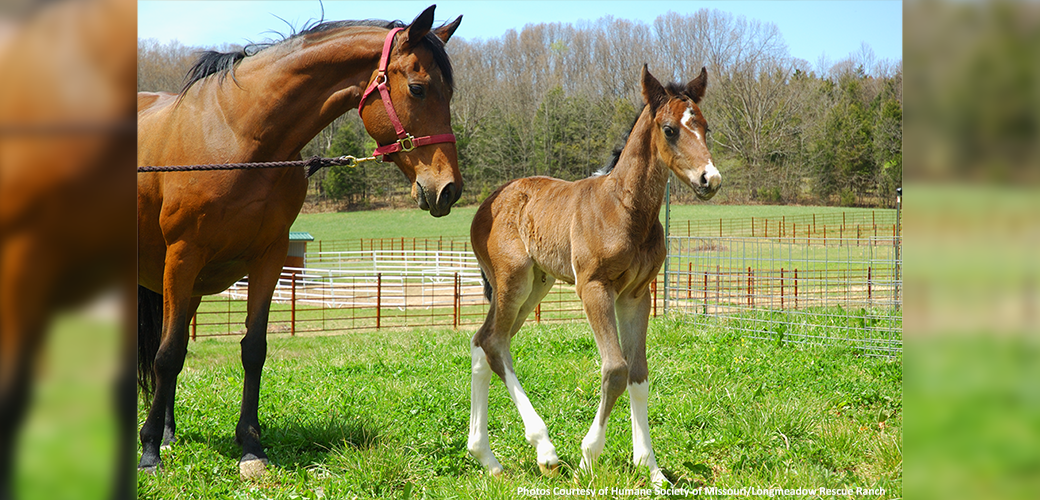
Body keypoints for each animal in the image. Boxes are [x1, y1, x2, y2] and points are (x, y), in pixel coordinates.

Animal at [136, 6, 462, 478]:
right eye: (418, 89)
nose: (448, 190)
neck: (239, 138)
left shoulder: (268, 258)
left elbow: (252, 350)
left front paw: (250, 446)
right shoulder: (182, 257)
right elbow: (167, 355)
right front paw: (148, 454)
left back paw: (167, 431)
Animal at [467, 65, 721, 485]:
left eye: (705, 127)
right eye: (670, 129)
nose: (710, 180)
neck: (625, 209)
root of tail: (488, 202)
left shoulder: (637, 294)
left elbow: (638, 374)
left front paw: (650, 468)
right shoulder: (594, 288)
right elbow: (616, 369)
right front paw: (589, 456)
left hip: (536, 285)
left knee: (484, 342)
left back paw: (485, 456)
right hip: (512, 281)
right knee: (493, 343)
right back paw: (545, 450)